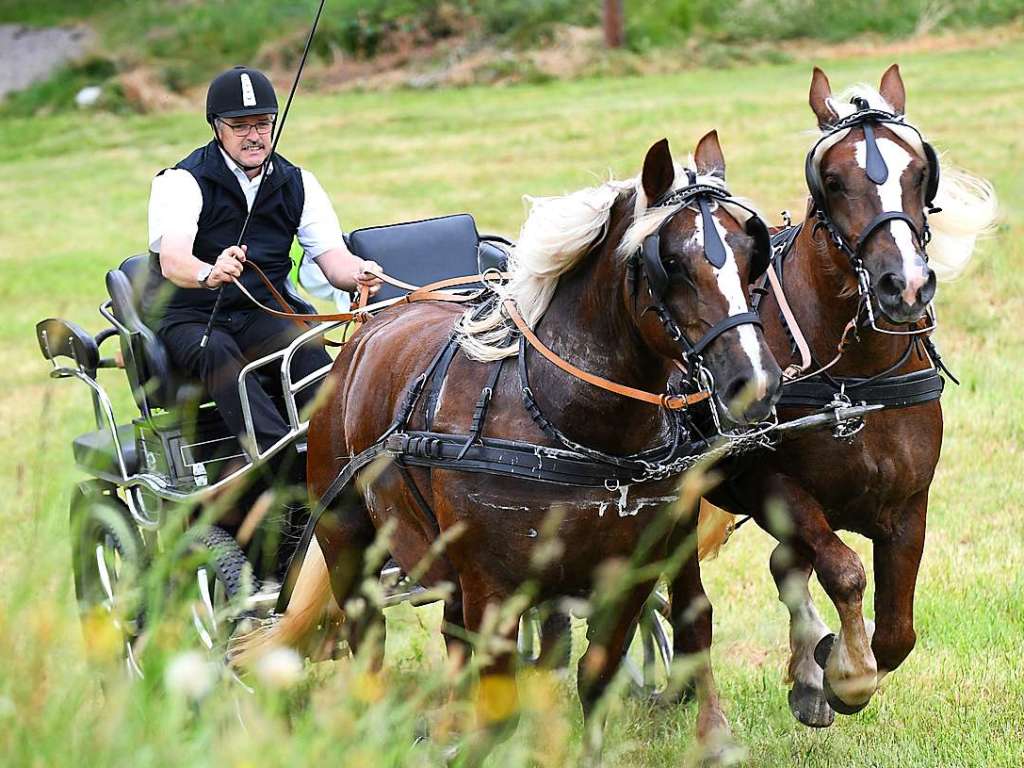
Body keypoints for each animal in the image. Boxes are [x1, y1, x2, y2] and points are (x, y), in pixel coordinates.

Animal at [241, 134, 782, 765]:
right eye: (668, 262)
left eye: (750, 253)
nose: (755, 382)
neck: (567, 424)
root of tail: (369, 324)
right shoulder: (495, 589)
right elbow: (500, 709)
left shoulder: (626, 572)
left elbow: (596, 679)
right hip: (348, 538)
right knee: (367, 640)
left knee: (453, 633)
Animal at [667, 64, 995, 733]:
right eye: (836, 180)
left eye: (918, 173)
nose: (906, 285)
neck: (856, 379)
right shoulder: (777, 489)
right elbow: (843, 571)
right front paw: (845, 673)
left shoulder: (909, 506)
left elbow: (897, 631)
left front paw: (827, 666)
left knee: (783, 567)